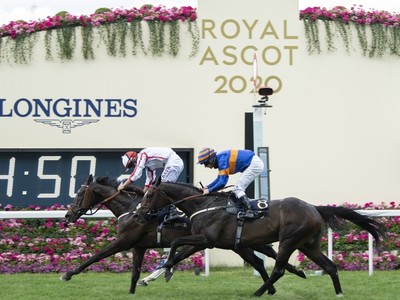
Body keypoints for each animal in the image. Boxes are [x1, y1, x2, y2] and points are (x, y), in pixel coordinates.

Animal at [61, 175, 304, 294]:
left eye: (80, 193)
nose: (68, 214)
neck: (131, 208)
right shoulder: (139, 246)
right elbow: (135, 274)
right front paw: (134, 290)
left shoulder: (124, 241)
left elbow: (96, 256)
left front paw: (68, 274)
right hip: (239, 244)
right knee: (262, 261)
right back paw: (278, 284)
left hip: (239, 243)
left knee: (267, 258)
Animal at [135, 180, 388, 298]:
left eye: (149, 194)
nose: (138, 215)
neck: (203, 205)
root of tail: (314, 208)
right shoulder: (208, 241)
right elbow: (177, 252)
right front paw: (154, 275)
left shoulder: (207, 239)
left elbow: (176, 244)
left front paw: (166, 272)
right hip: (308, 245)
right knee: (330, 266)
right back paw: (338, 293)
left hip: (289, 240)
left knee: (279, 269)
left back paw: (258, 292)